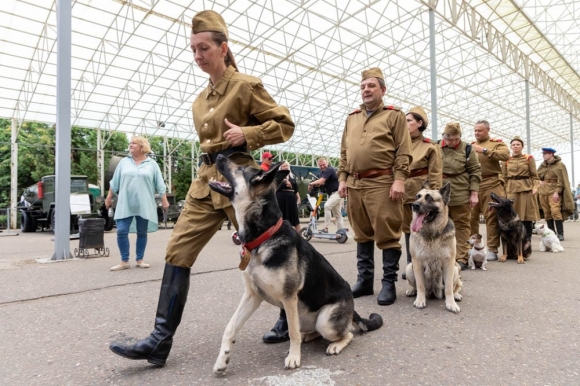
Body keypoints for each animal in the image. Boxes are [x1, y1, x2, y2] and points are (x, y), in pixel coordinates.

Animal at [206, 155, 382, 374]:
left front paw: (294, 357)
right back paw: (309, 336)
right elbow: (230, 327)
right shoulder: (252, 295)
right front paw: (222, 359)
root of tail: (352, 309)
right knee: (312, 331)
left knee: (346, 334)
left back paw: (335, 345)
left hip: (325, 321)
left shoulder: (288, 298)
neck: (263, 236)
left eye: (241, 169)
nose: (218, 156)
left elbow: (292, 332)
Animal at [408, 181, 462, 314]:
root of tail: (433, 291)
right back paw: (412, 290)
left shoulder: (449, 264)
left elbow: (448, 288)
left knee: (456, 287)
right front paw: (420, 300)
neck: (431, 234)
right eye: (417, 196)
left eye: (429, 198)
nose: (414, 205)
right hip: (409, 268)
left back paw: (456, 295)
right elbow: (420, 285)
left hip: (455, 270)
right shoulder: (417, 263)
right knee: (414, 285)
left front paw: (451, 303)